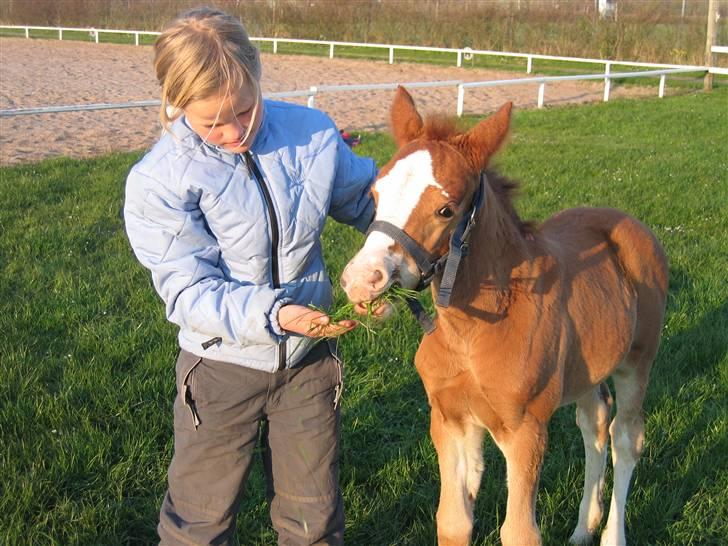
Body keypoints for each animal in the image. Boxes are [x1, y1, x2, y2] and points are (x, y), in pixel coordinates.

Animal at [342, 87, 672, 540]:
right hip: (587, 365)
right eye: (375, 195)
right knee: (595, 424)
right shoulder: (450, 420)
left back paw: (609, 536)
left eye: (446, 210)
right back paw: (581, 530)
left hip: (637, 361)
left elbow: (518, 533)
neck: (470, 333)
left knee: (626, 437)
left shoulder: (526, 430)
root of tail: (625, 220)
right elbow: (453, 521)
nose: (362, 280)